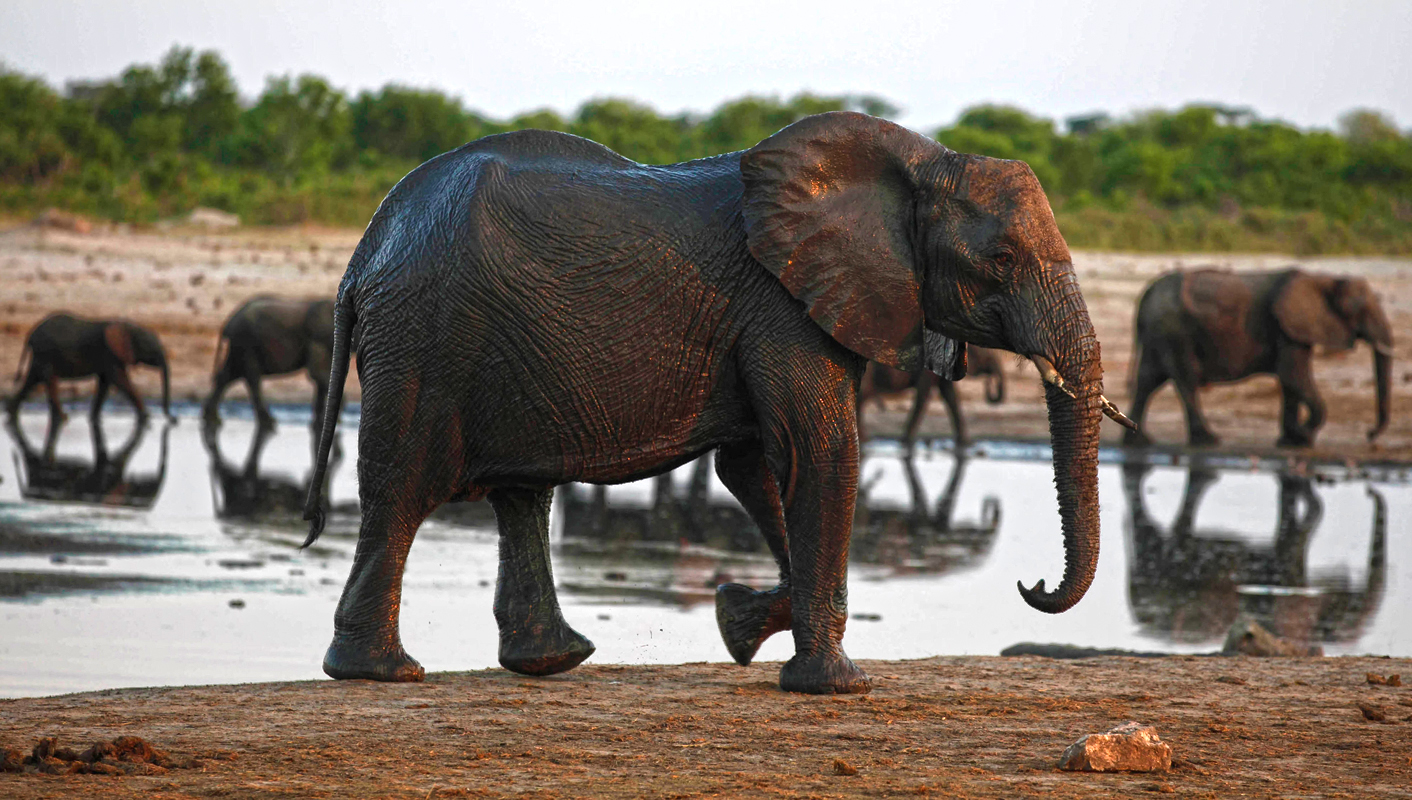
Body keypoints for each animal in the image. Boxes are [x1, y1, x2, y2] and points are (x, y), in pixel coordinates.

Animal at [6, 313, 172, 427]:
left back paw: (11, 413)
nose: (173, 419)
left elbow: (105, 384)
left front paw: (93, 418)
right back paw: (63, 418)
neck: (127, 326)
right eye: (150, 347)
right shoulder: (110, 354)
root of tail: (30, 336)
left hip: (41, 356)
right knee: (49, 380)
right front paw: (146, 417)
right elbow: (120, 381)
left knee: (32, 380)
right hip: (46, 354)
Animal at [202, 296, 338, 430]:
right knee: (252, 378)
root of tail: (227, 324)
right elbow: (317, 373)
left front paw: (320, 423)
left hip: (239, 346)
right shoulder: (317, 338)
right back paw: (268, 422)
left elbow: (323, 376)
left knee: (227, 376)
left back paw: (211, 418)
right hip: (247, 343)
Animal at [856, 344, 1007, 450]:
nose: (988, 384)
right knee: (862, 398)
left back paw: (866, 440)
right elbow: (925, 392)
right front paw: (906, 443)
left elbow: (949, 394)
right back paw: (865, 440)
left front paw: (967, 445)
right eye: (984, 353)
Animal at [1125, 268, 1393, 447]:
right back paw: (1209, 440)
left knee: (1149, 380)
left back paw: (1139, 441)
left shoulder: (1293, 329)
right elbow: (1293, 375)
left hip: (1160, 334)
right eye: (1358, 309)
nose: (1370, 434)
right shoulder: (1288, 326)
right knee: (1185, 380)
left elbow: (1291, 380)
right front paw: (1303, 437)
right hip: (1175, 333)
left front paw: (1290, 441)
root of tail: (1147, 293)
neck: (1322, 278)